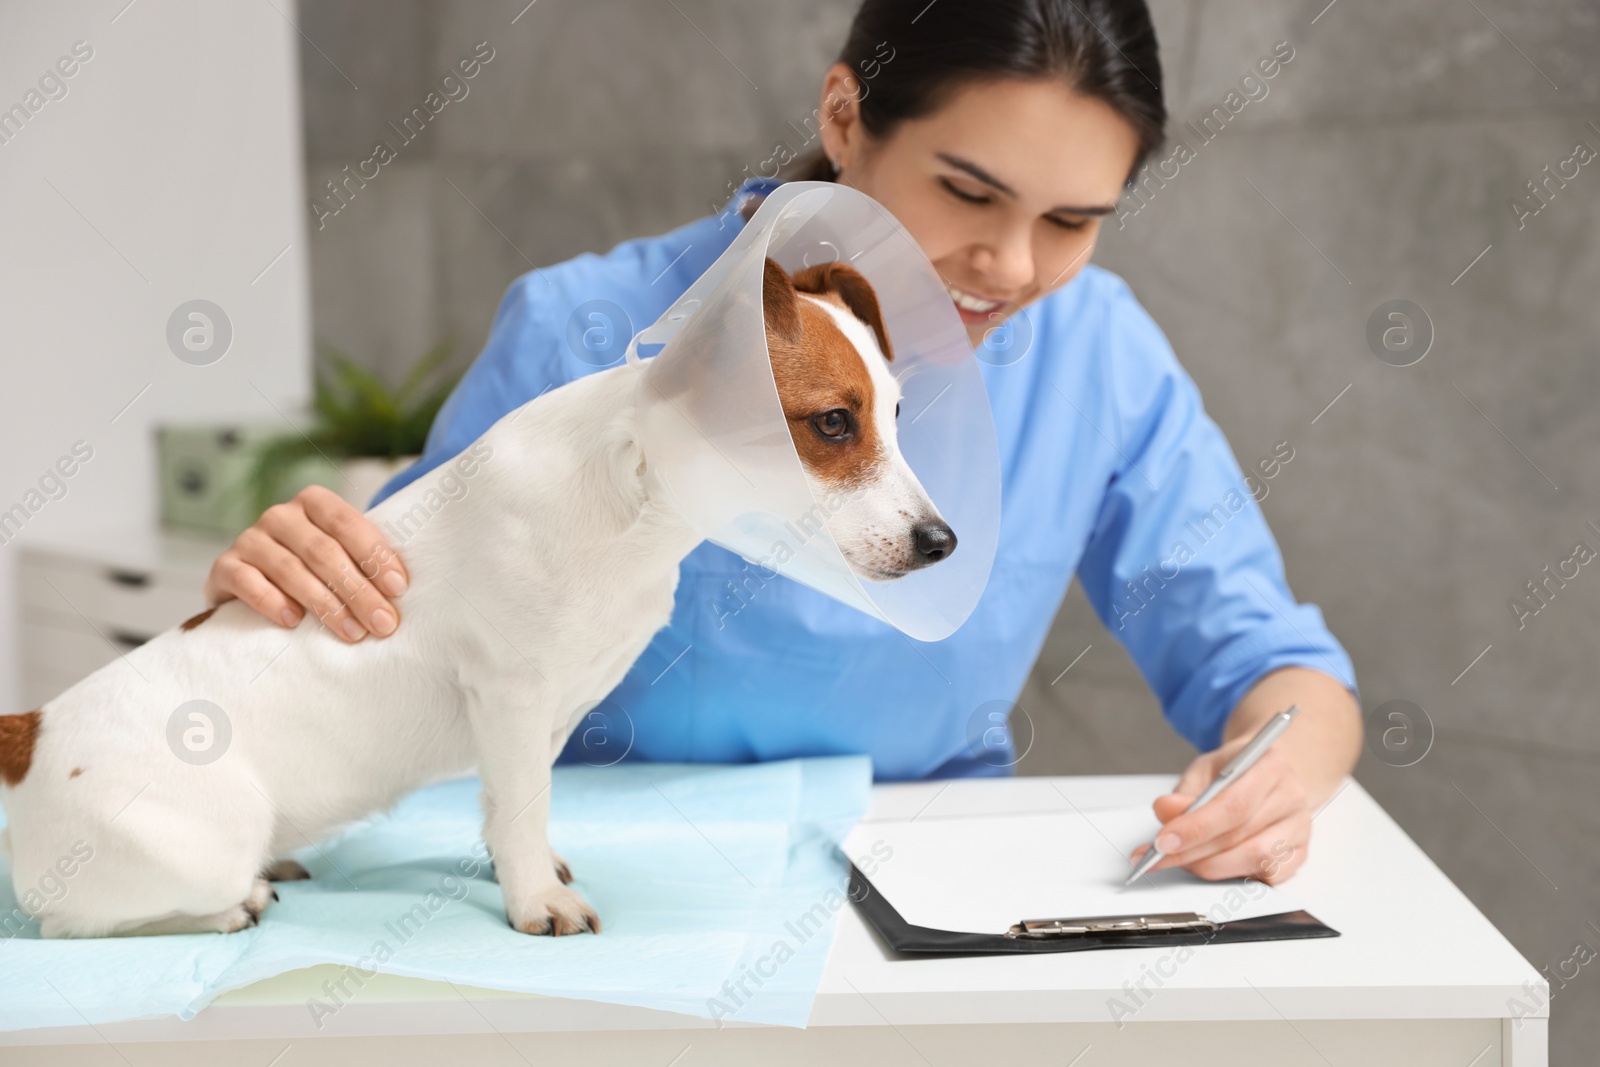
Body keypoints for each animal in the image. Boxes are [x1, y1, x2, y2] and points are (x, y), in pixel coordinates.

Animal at [0, 262, 953, 940]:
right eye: (832, 422)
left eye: (900, 416)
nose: (944, 543)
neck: (634, 498)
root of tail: (34, 731)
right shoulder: (513, 696)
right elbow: (522, 805)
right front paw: (535, 901)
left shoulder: (546, 711)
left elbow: (515, 807)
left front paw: (521, 867)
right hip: (202, 840)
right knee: (73, 923)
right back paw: (236, 901)